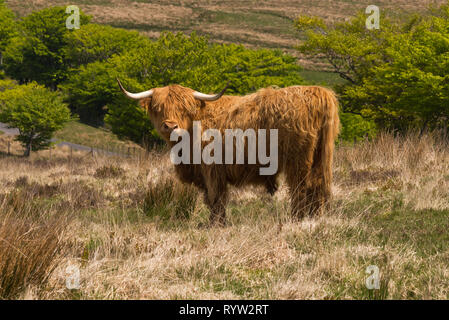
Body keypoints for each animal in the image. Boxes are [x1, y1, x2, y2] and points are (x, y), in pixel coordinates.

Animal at [117, 80, 338, 225]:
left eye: (184, 108)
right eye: (158, 107)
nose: (170, 126)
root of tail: (317, 92)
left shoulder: (212, 170)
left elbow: (216, 199)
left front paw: (216, 224)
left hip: (298, 161)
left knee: (301, 188)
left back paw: (297, 219)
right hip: (321, 158)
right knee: (319, 187)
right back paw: (315, 218)